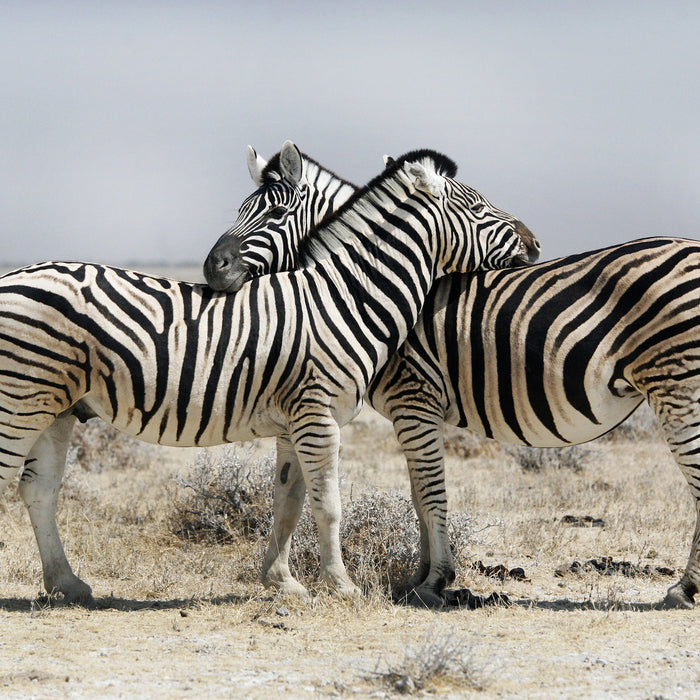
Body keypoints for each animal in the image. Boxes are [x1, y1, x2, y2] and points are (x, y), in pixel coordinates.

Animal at [1, 142, 536, 600]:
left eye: (276, 214)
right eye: (480, 209)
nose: (532, 244)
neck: (344, 297)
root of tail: (13, 274)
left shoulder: (294, 421)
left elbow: (288, 502)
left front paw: (283, 582)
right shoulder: (319, 416)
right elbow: (328, 505)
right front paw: (342, 587)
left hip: (57, 409)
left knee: (38, 490)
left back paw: (67, 583)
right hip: (20, 401)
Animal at [205, 150, 700, 608]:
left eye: (273, 214)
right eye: (241, 210)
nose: (212, 269)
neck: (359, 289)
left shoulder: (414, 400)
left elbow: (430, 492)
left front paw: (435, 581)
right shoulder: (414, 412)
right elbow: (418, 494)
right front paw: (420, 576)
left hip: (676, 386)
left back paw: (683, 589)